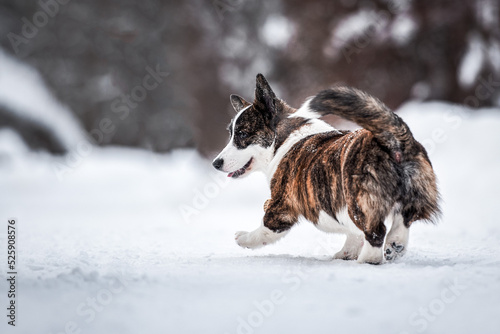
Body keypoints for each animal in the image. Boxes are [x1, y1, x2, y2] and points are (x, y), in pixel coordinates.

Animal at [213, 74, 440, 264]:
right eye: (231, 133)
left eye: (242, 134)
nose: (216, 163)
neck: (282, 138)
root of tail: (393, 139)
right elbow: (353, 235)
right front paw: (346, 253)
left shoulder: (282, 206)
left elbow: (265, 229)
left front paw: (243, 238)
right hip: (410, 192)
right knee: (403, 219)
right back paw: (394, 245)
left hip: (358, 203)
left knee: (376, 233)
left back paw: (367, 259)